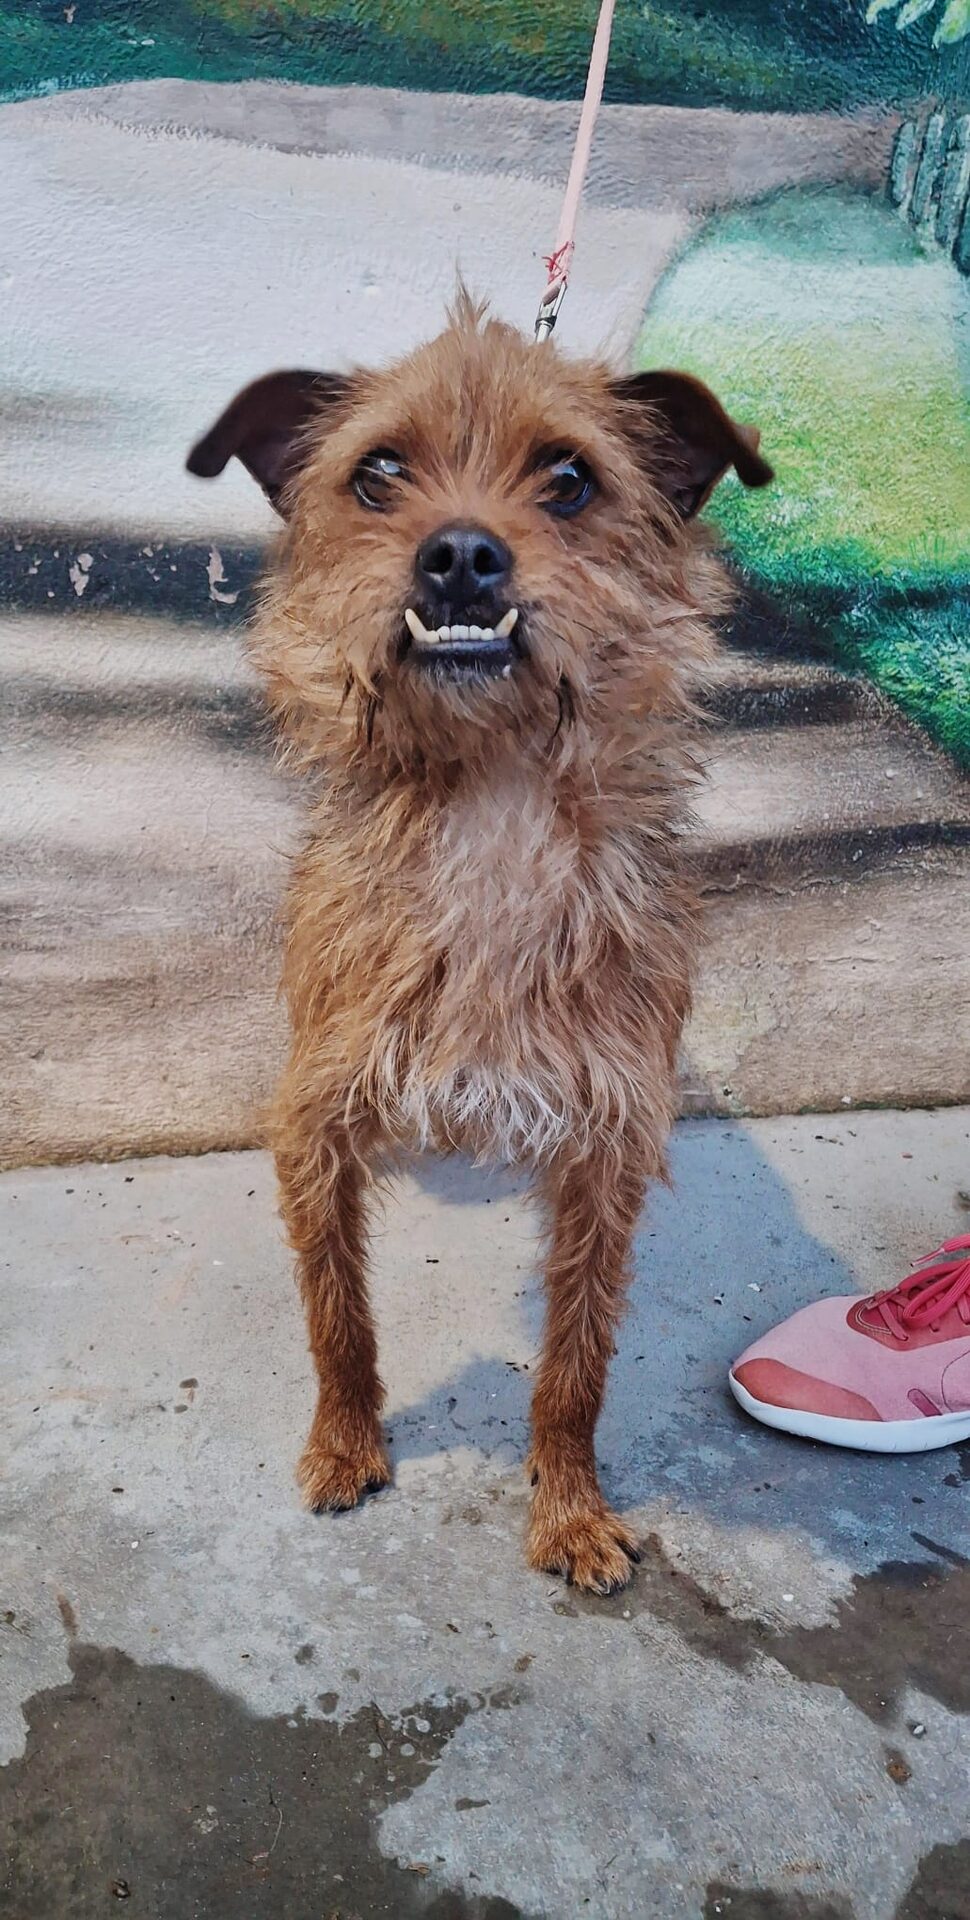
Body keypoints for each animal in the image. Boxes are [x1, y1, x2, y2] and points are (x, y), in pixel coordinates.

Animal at [187, 296, 772, 1593]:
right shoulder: (314, 1122)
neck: (489, 802)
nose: (459, 555)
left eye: (568, 478)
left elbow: (576, 1367)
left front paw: (567, 1509)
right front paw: (345, 1447)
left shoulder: (606, 1147)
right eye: (378, 473)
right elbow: (338, 1318)